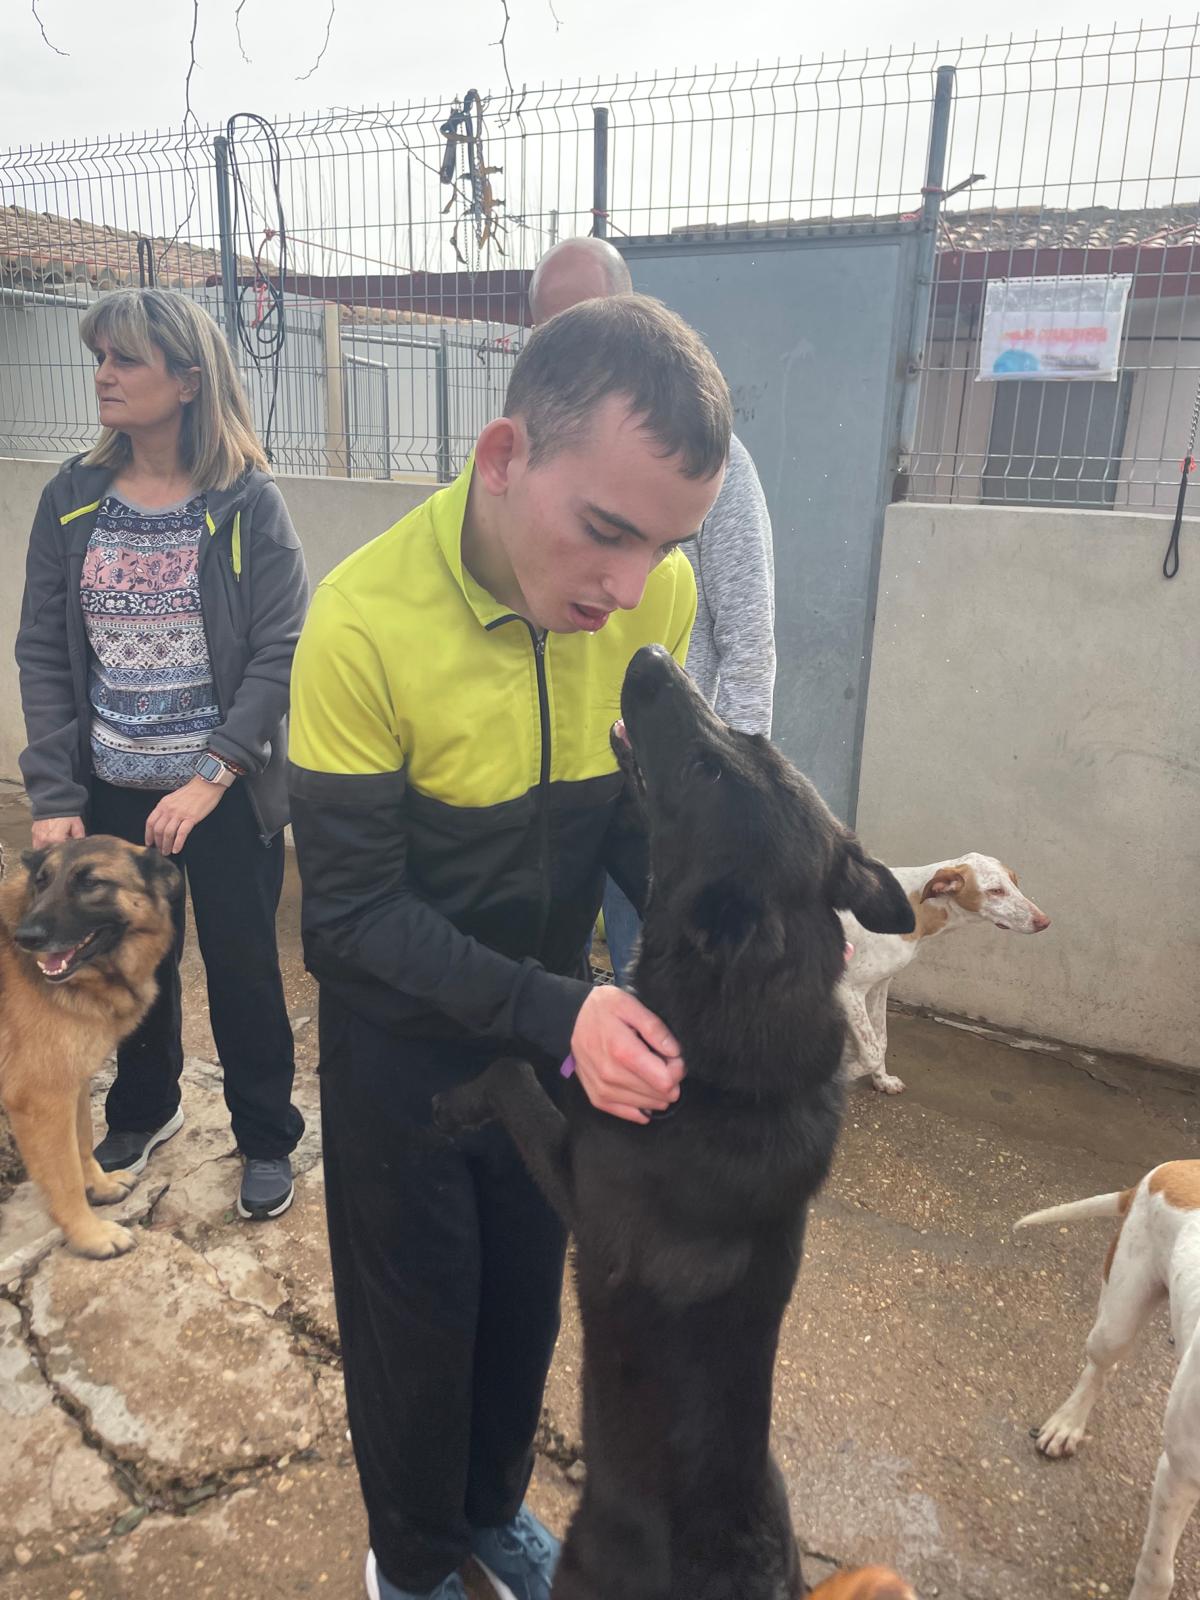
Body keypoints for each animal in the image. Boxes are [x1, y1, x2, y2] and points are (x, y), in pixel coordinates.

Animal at [0, 832, 180, 1254]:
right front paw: (90, 1235)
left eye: (91, 883)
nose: (26, 938)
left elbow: (82, 1141)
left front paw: (99, 1186)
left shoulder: (74, 1084)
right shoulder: (43, 1101)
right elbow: (63, 1176)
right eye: (42, 882)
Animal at [438, 646, 915, 1600]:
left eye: (702, 769)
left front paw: (455, 1101)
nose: (653, 656)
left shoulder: (585, 1190)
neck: (730, 1074)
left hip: (584, 1567)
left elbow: (509, 1075)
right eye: (747, 737)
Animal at [838, 857, 1049, 1094]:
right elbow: (872, 1052)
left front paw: (883, 1080)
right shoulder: (847, 989)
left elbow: (880, 1041)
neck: (915, 907)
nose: (1044, 921)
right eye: (995, 890)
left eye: (1014, 881)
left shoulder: (880, 984)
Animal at [1017, 1164, 1200, 1600]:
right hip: (1118, 1316)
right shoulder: (1178, 1473)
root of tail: (1170, 1166)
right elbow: (1157, 1570)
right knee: (1099, 1368)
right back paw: (1065, 1425)